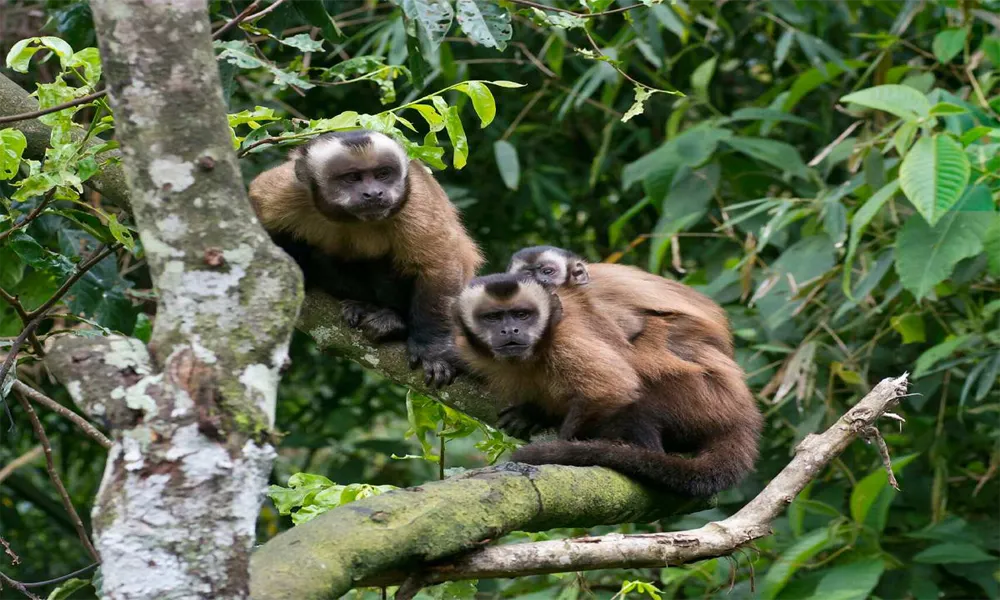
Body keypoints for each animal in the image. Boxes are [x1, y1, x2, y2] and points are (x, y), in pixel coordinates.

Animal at [248, 129, 484, 387]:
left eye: (383, 174)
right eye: (352, 178)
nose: (374, 193)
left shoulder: (413, 200)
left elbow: (439, 264)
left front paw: (433, 349)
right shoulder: (285, 189)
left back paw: (393, 321)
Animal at [453, 273, 762, 498]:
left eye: (522, 315)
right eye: (493, 318)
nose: (510, 330)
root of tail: (742, 414)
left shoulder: (567, 338)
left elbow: (612, 388)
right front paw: (534, 413)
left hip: (700, 398)